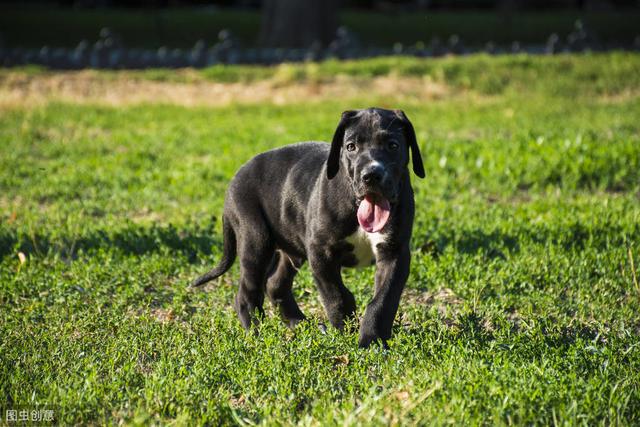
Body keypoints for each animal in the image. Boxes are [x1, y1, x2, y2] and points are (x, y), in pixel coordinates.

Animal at [195, 108, 424, 348]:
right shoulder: (320, 251)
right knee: (247, 294)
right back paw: (258, 333)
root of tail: (235, 177)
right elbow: (337, 295)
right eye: (351, 146)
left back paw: (300, 324)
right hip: (255, 240)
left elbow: (383, 300)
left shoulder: (395, 253)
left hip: (289, 247)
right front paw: (346, 329)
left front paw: (371, 340)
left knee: (275, 284)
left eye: (393, 145)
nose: (371, 175)